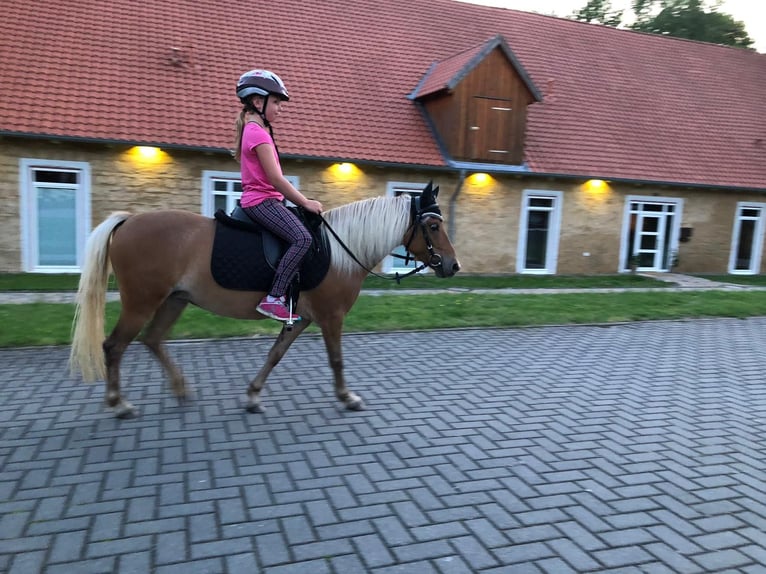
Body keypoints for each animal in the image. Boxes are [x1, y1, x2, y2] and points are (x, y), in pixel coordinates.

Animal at [69, 182, 460, 418]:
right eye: (433, 226)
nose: (453, 266)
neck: (340, 251)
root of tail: (129, 221)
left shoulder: (300, 318)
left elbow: (275, 355)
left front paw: (253, 395)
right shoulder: (331, 317)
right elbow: (336, 360)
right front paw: (347, 397)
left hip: (173, 300)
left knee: (152, 340)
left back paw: (179, 389)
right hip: (142, 302)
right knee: (114, 346)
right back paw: (119, 403)